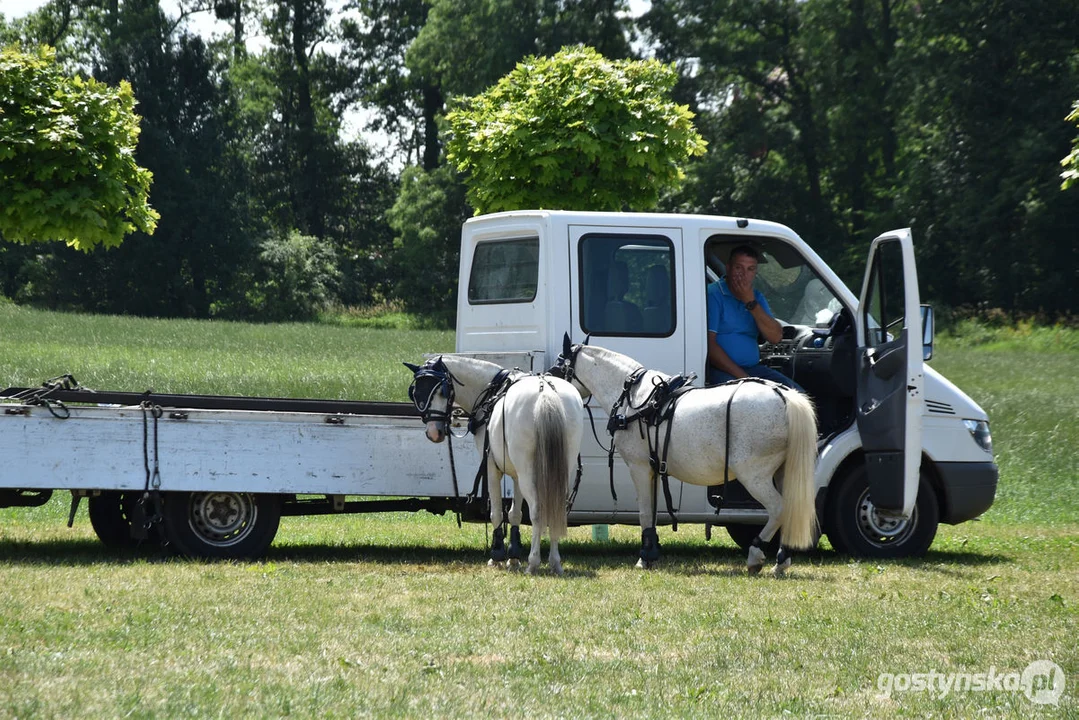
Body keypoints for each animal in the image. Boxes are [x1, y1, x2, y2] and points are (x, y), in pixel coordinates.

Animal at [405, 354, 586, 574]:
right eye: (416, 393)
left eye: (442, 392)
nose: (434, 432)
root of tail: (545, 392)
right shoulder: (516, 474)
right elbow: (515, 514)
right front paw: (514, 556)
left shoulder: (491, 467)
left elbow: (497, 513)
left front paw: (498, 555)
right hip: (560, 469)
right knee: (556, 509)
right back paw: (555, 562)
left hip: (528, 472)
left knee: (537, 511)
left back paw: (534, 562)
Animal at [556, 341, 815, 578]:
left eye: (559, 366)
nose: (551, 383)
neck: (635, 400)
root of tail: (784, 396)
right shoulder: (653, 469)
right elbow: (652, 511)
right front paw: (652, 553)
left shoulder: (639, 468)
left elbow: (644, 512)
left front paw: (644, 558)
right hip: (782, 472)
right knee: (791, 508)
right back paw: (781, 561)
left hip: (754, 476)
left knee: (778, 508)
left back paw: (755, 555)